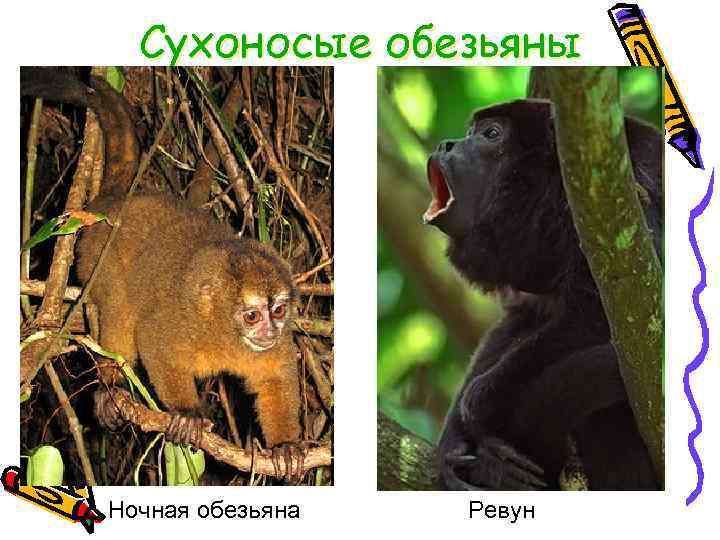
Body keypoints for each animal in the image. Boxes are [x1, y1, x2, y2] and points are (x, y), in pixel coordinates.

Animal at [21, 68, 307, 482]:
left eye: (279, 311)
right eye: (252, 315)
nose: (269, 332)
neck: (225, 334)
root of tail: (114, 202)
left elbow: (275, 377)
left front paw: (285, 447)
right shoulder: (182, 321)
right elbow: (153, 339)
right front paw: (187, 414)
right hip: (95, 259)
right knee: (119, 310)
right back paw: (111, 388)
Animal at [424, 99, 662, 490]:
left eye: (491, 133)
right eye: (470, 131)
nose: (446, 144)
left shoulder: (631, 200)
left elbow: (609, 319)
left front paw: (478, 402)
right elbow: (519, 319)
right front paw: (454, 440)